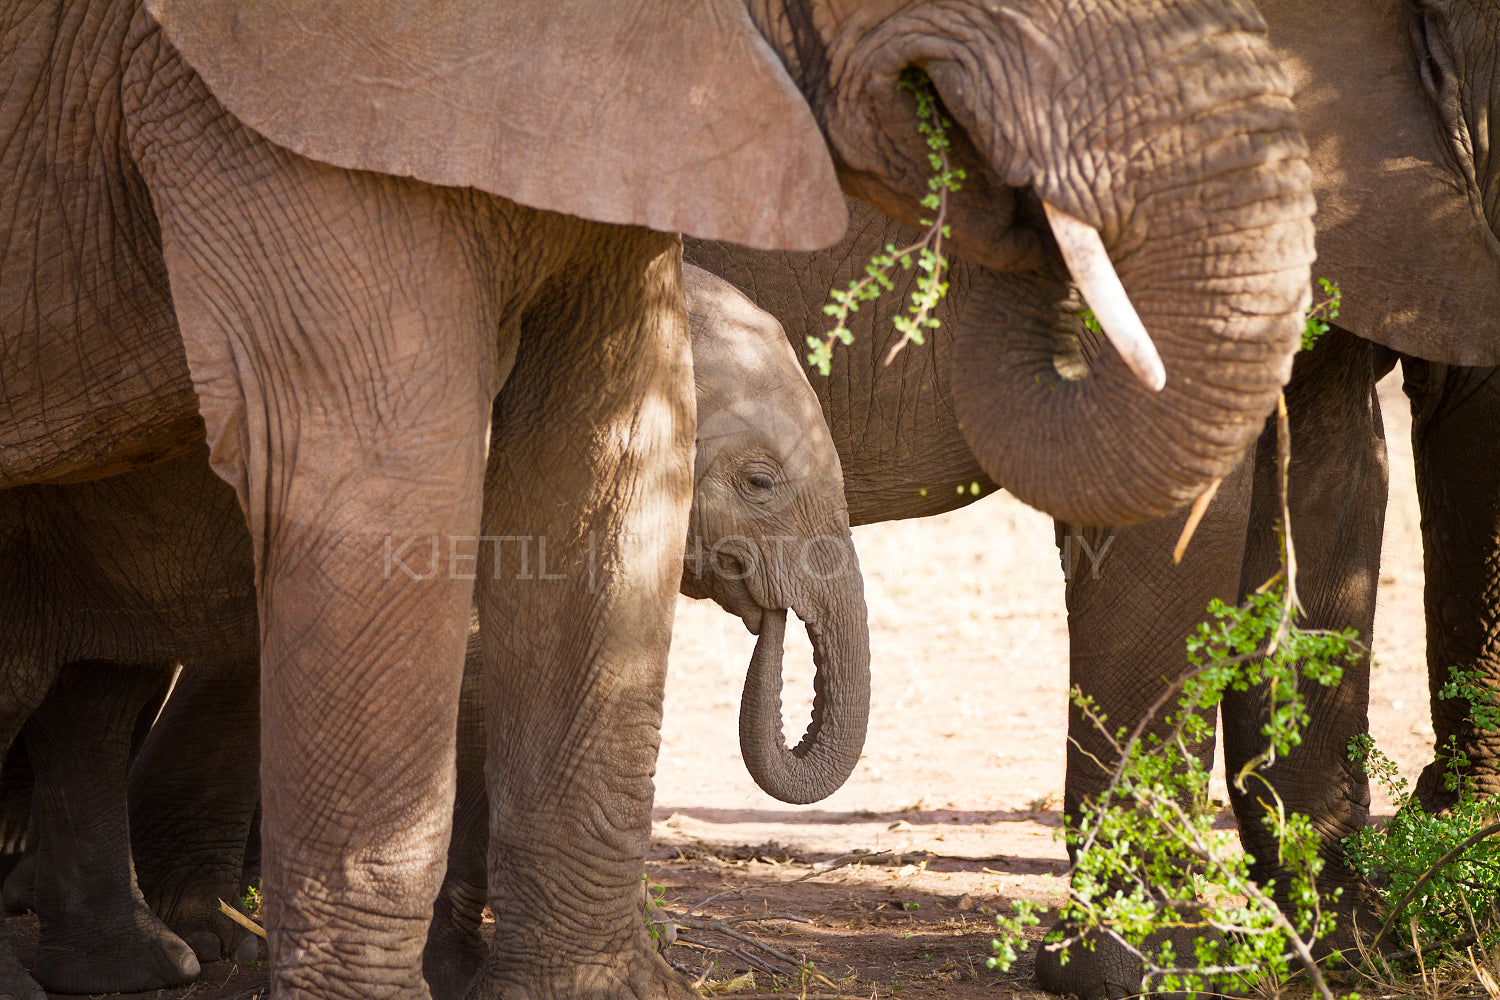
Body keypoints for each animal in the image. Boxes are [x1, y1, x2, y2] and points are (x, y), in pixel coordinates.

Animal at [0, 265, 870, 1000]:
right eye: (758, 483)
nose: (766, 612)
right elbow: (476, 678)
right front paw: (453, 977)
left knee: (94, 700)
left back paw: (145, 968)